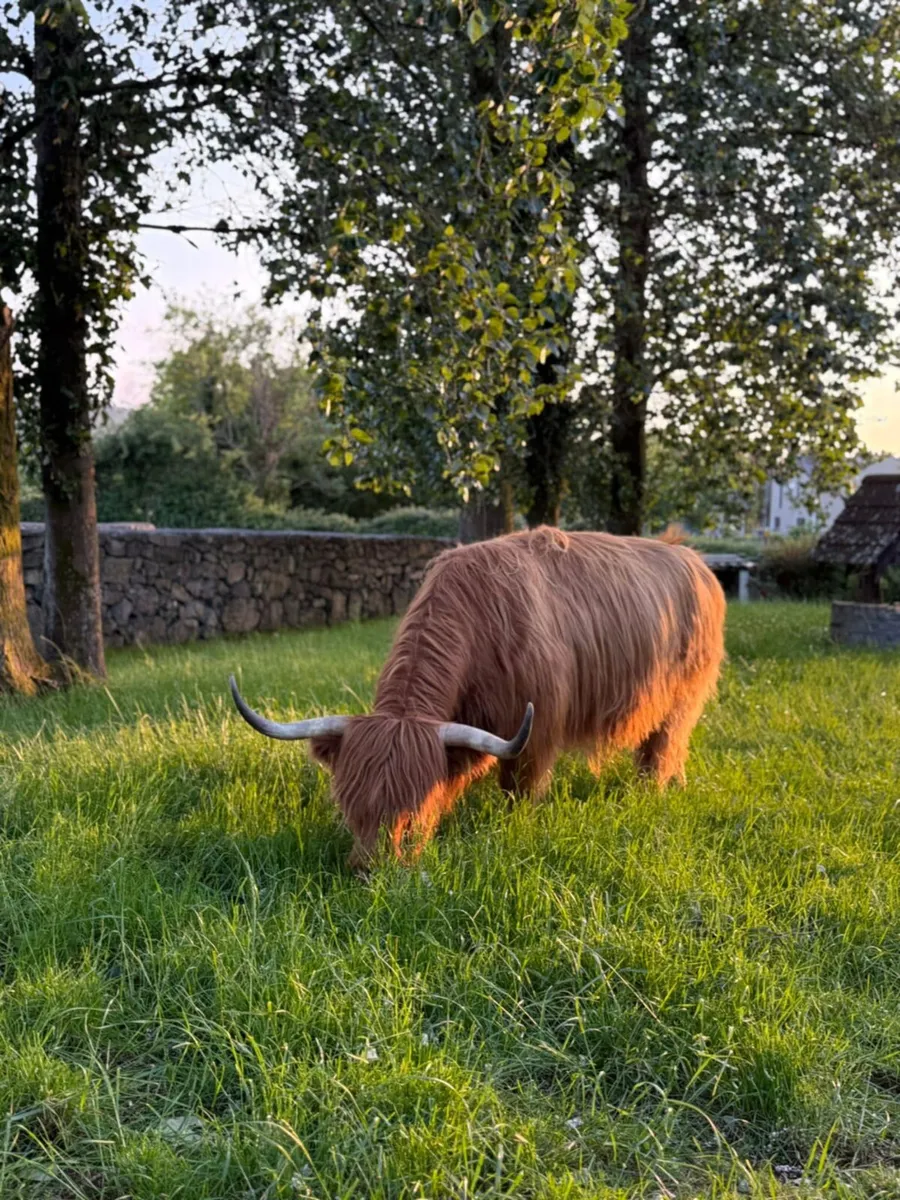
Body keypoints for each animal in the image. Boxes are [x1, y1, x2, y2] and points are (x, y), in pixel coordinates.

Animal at [230, 526, 726, 869]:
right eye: (351, 809)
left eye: (411, 815)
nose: (370, 870)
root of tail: (693, 558)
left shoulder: (535, 731)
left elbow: (519, 787)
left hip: (683, 697)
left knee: (661, 747)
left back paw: (650, 793)